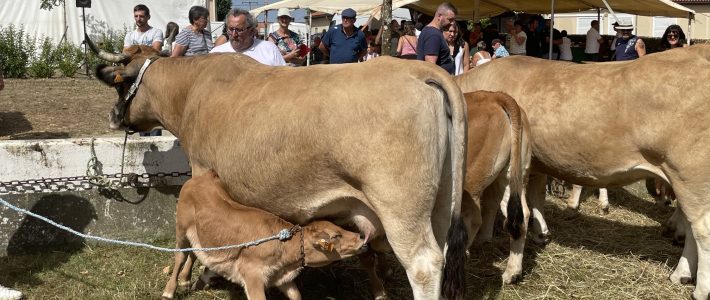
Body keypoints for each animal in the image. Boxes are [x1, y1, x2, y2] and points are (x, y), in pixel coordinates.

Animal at [162, 171, 368, 300]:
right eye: (335, 236)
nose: (361, 237)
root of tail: (205, 176)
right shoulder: (252, 274)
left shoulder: (280, 277)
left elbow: (296, 294)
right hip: (181, 228)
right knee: (180, 256)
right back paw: (169, 291)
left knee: (194, 252)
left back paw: (189, 282)